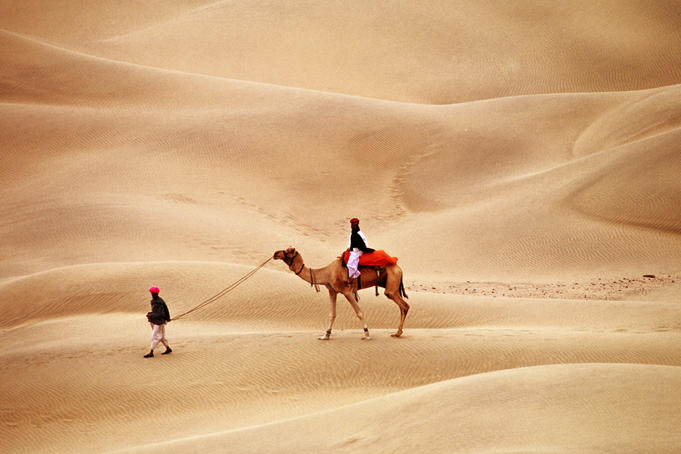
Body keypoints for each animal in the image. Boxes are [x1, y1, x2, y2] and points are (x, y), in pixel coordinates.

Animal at [273, 247, 409, 340]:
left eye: (288, 251)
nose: (275, 253)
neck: (328, 272)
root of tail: (398, 267)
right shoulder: (332, 291)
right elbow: (332, 314)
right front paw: (325, 335)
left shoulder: (346, 291)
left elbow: (359, 312)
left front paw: (366, 334)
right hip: (391, 285)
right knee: (403, 306)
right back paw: (398, 333)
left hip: (391, 284)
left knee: (404, 305)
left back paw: (398, 333)